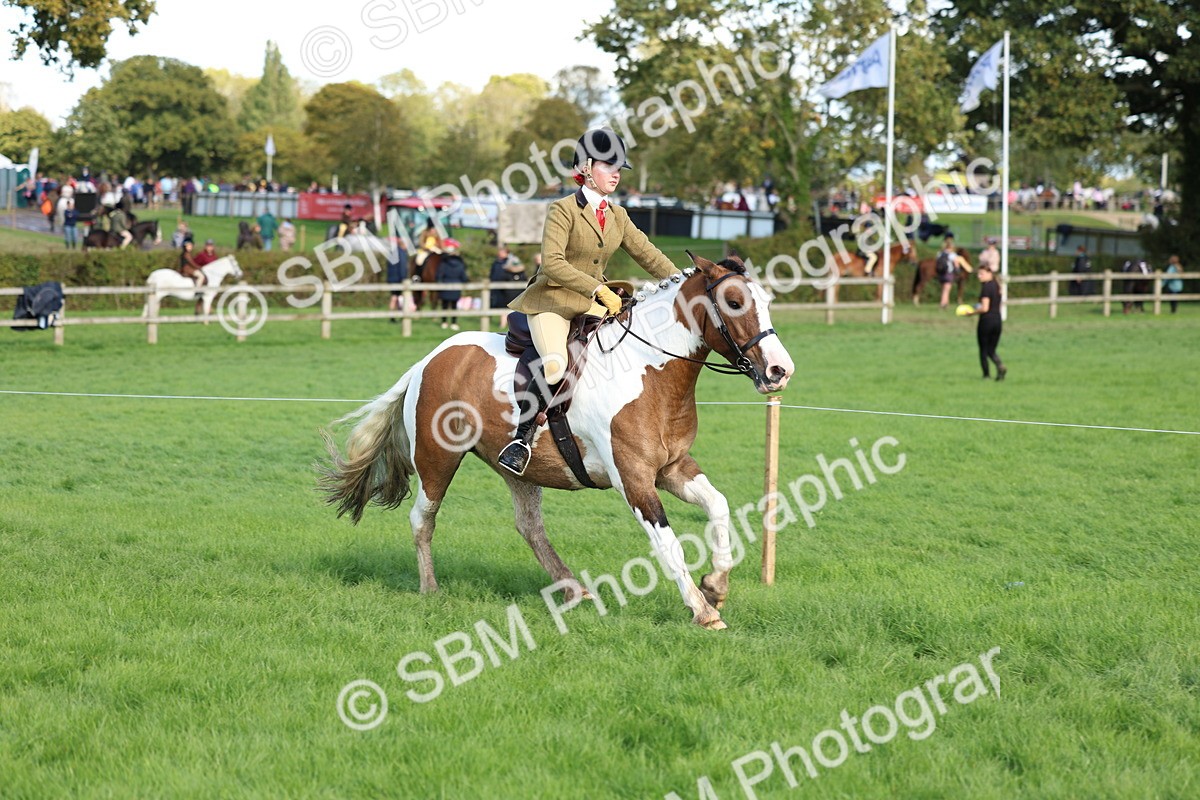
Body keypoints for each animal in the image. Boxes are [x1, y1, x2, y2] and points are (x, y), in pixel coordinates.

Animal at [320, 253, 795, 630]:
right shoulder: (634, 479)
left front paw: (715, 585)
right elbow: (668, 544)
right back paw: (430, 588)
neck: (650, 369)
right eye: (734, 303)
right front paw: (702, 609)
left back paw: (573, 590)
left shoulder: (673, 468)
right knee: (423, 519)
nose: (779, 371)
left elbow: (718, 506)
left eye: (768, 303)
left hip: (517, 467)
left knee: (529, 526)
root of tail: (429, 359)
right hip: (438, 459)